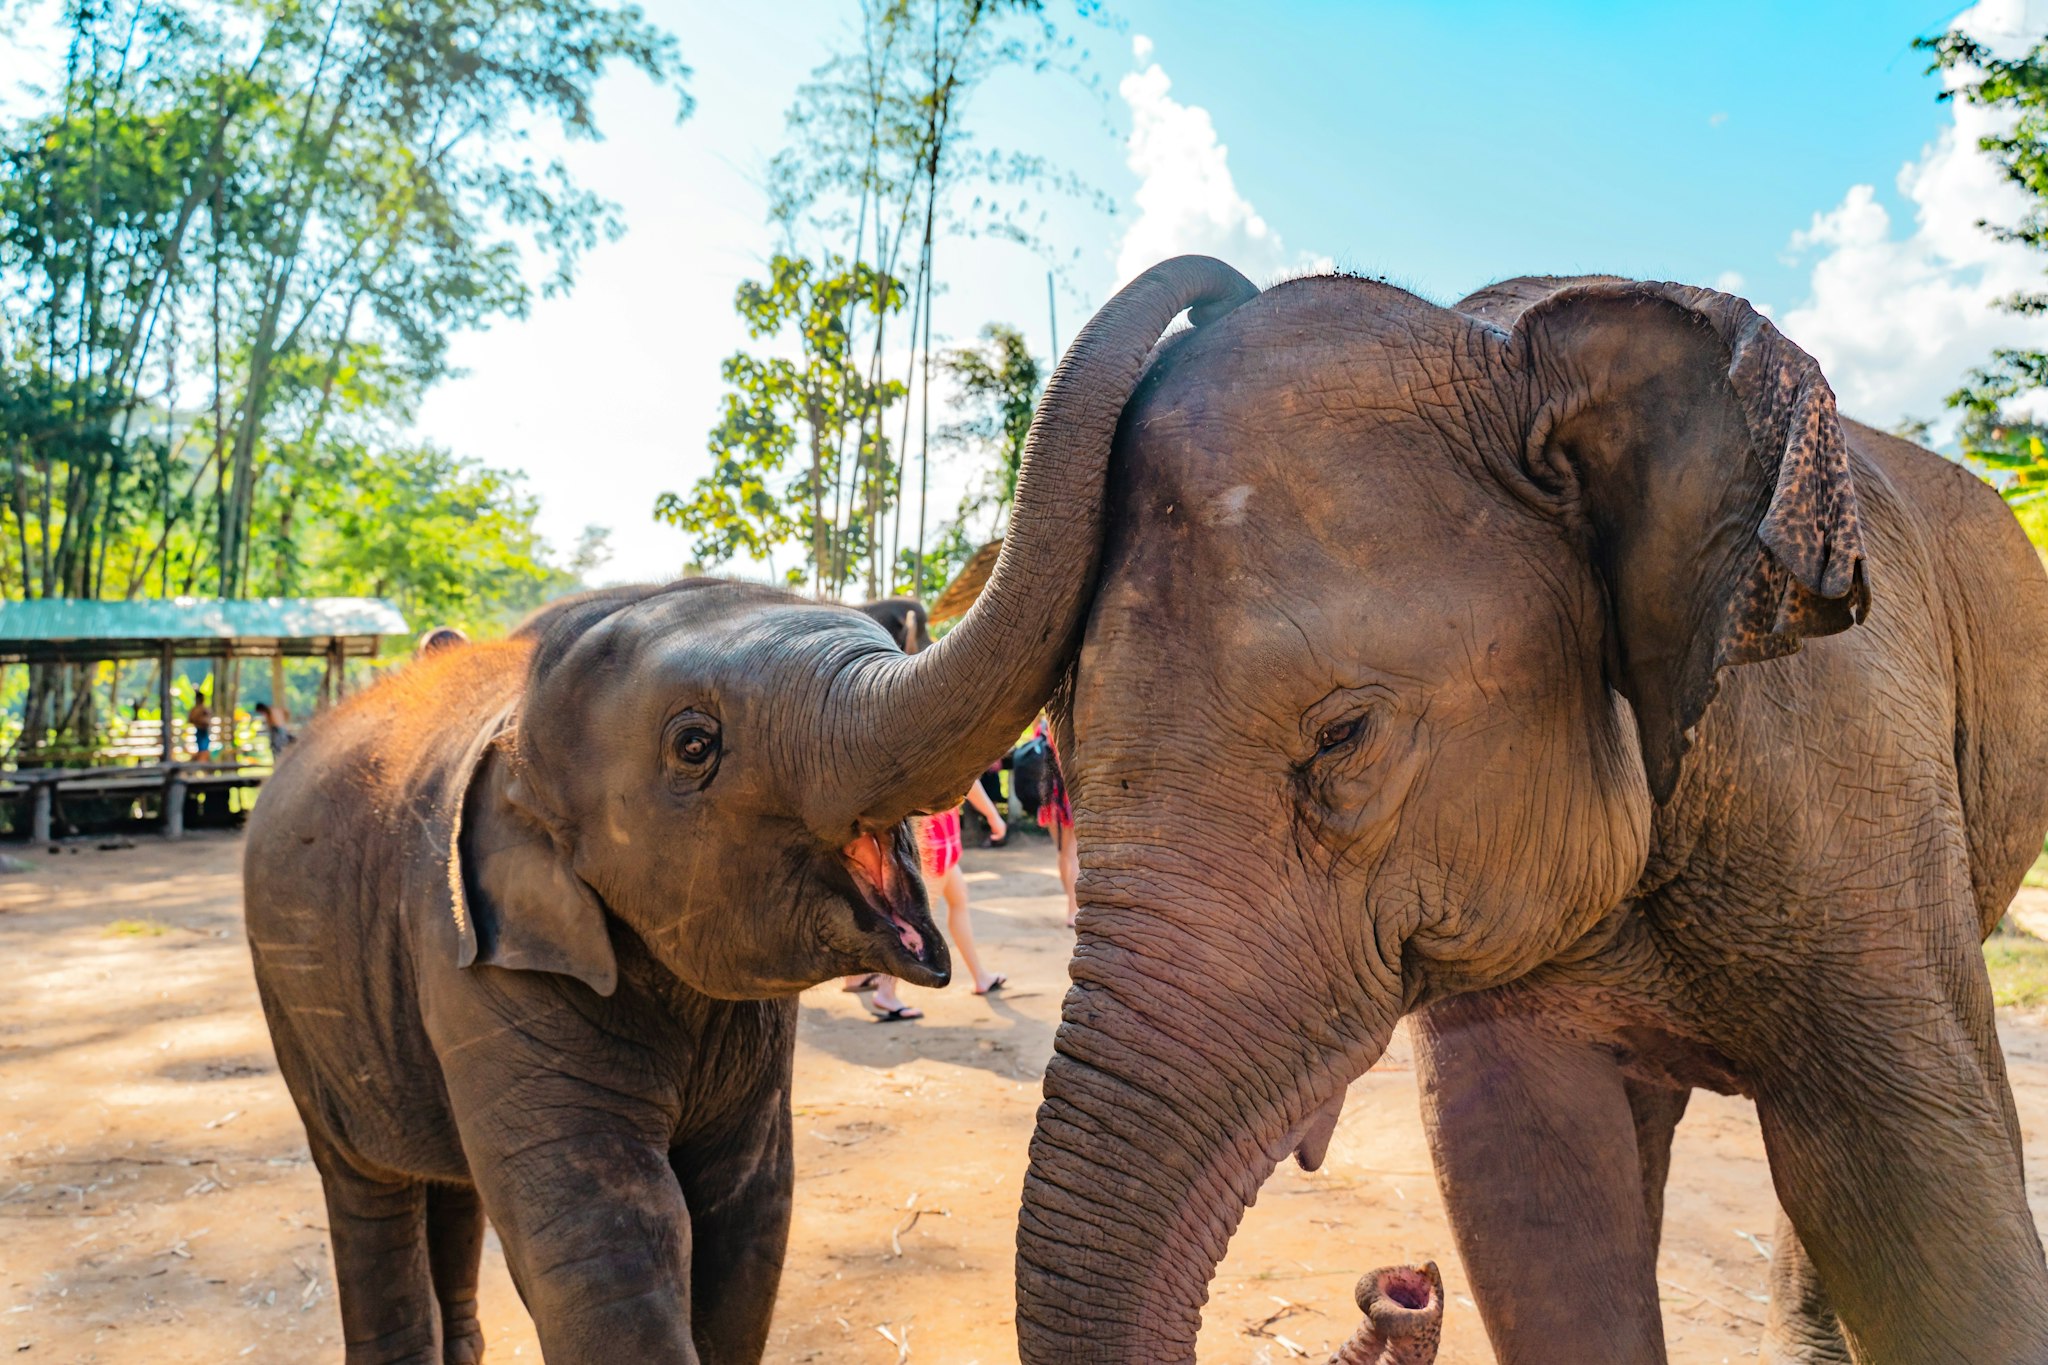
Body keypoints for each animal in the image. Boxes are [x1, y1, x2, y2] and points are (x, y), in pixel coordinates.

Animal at [239, 260, 1246, 1364]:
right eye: (694, 745)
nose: (1225, 296)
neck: (518, 710)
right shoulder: (477, 958)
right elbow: (607, 1240)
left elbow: (748, 1214)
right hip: (298, 999)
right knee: (366, 1188)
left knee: (448, 1186)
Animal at [1003, 259, 2048, 1364]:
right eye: (1057, 742)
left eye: (1342, 736)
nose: (1399, 1283)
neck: (1511, 346)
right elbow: (1530, 1190)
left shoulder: (1845, 760)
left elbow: (1915, 1175)